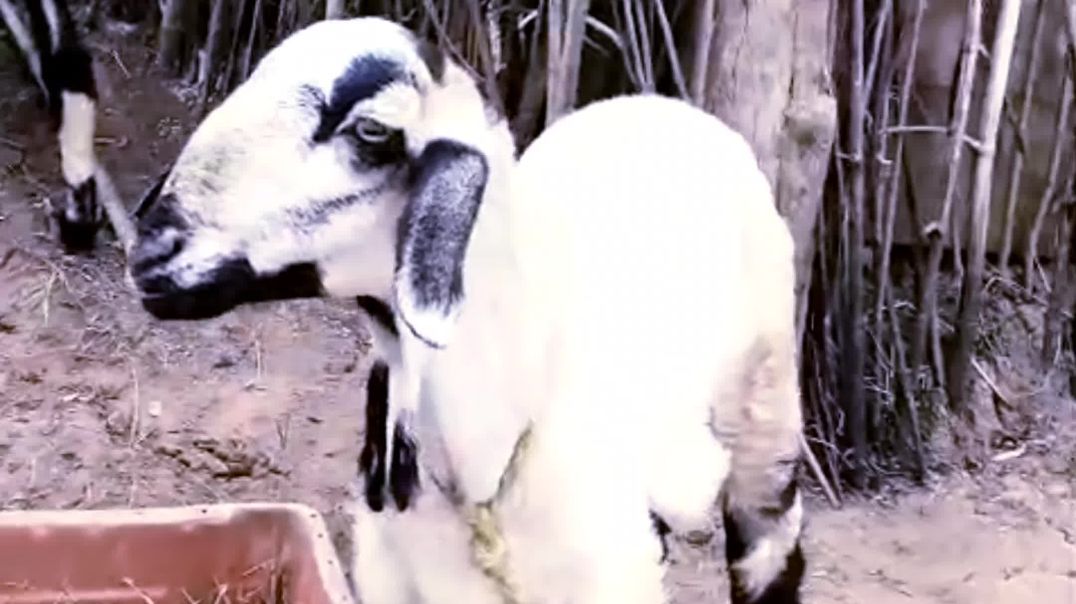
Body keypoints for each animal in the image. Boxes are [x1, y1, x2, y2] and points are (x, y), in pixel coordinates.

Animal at [124, 16, 806, 604]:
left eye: (372, 132)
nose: (150, 252)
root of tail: (663, 106)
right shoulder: (389, 570)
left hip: (766, 411)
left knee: (770, 543)